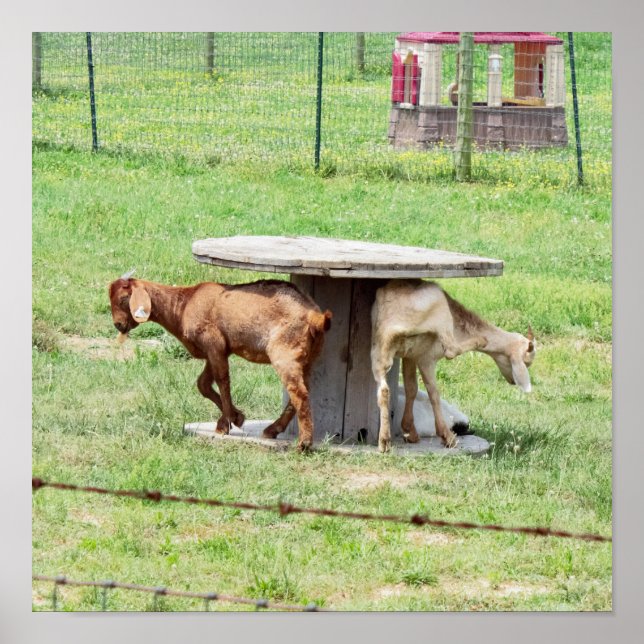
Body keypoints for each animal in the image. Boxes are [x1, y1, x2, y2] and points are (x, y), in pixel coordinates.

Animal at [109, 273, 332, 451]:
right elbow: (203, 384)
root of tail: (315, 316)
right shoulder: (216, 350)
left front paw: (225, 424)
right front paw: (236, 417)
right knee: (303, 389)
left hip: (284, 353)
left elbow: (223, 380)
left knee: (299, 393)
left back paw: (304, 443)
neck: (183, 305)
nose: (118, 325)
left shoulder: (213, 341)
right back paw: (273, 429)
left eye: (123, 299)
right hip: (309, 356)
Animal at [371, 279, 535, 453]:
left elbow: (412, 389)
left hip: (378, 351)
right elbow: (433, 393)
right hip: (440, 310)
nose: (512, 381)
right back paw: (480, 340)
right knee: (451, 350)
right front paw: (444, 435)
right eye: (527, 362)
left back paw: (384, 441)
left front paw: (410, 432)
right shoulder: (426, 358)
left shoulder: (410, 356)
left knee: (383, 390)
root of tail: (393, 322)